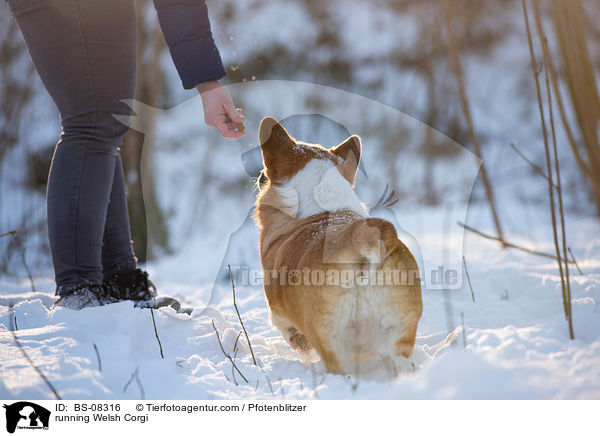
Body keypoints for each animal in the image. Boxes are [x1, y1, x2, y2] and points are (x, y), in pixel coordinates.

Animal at [253, 117, 422, 376]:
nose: (259, 178)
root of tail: (362, 241)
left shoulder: (278, 311)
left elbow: (285, 327)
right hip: (399, 332)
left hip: (331, 339)